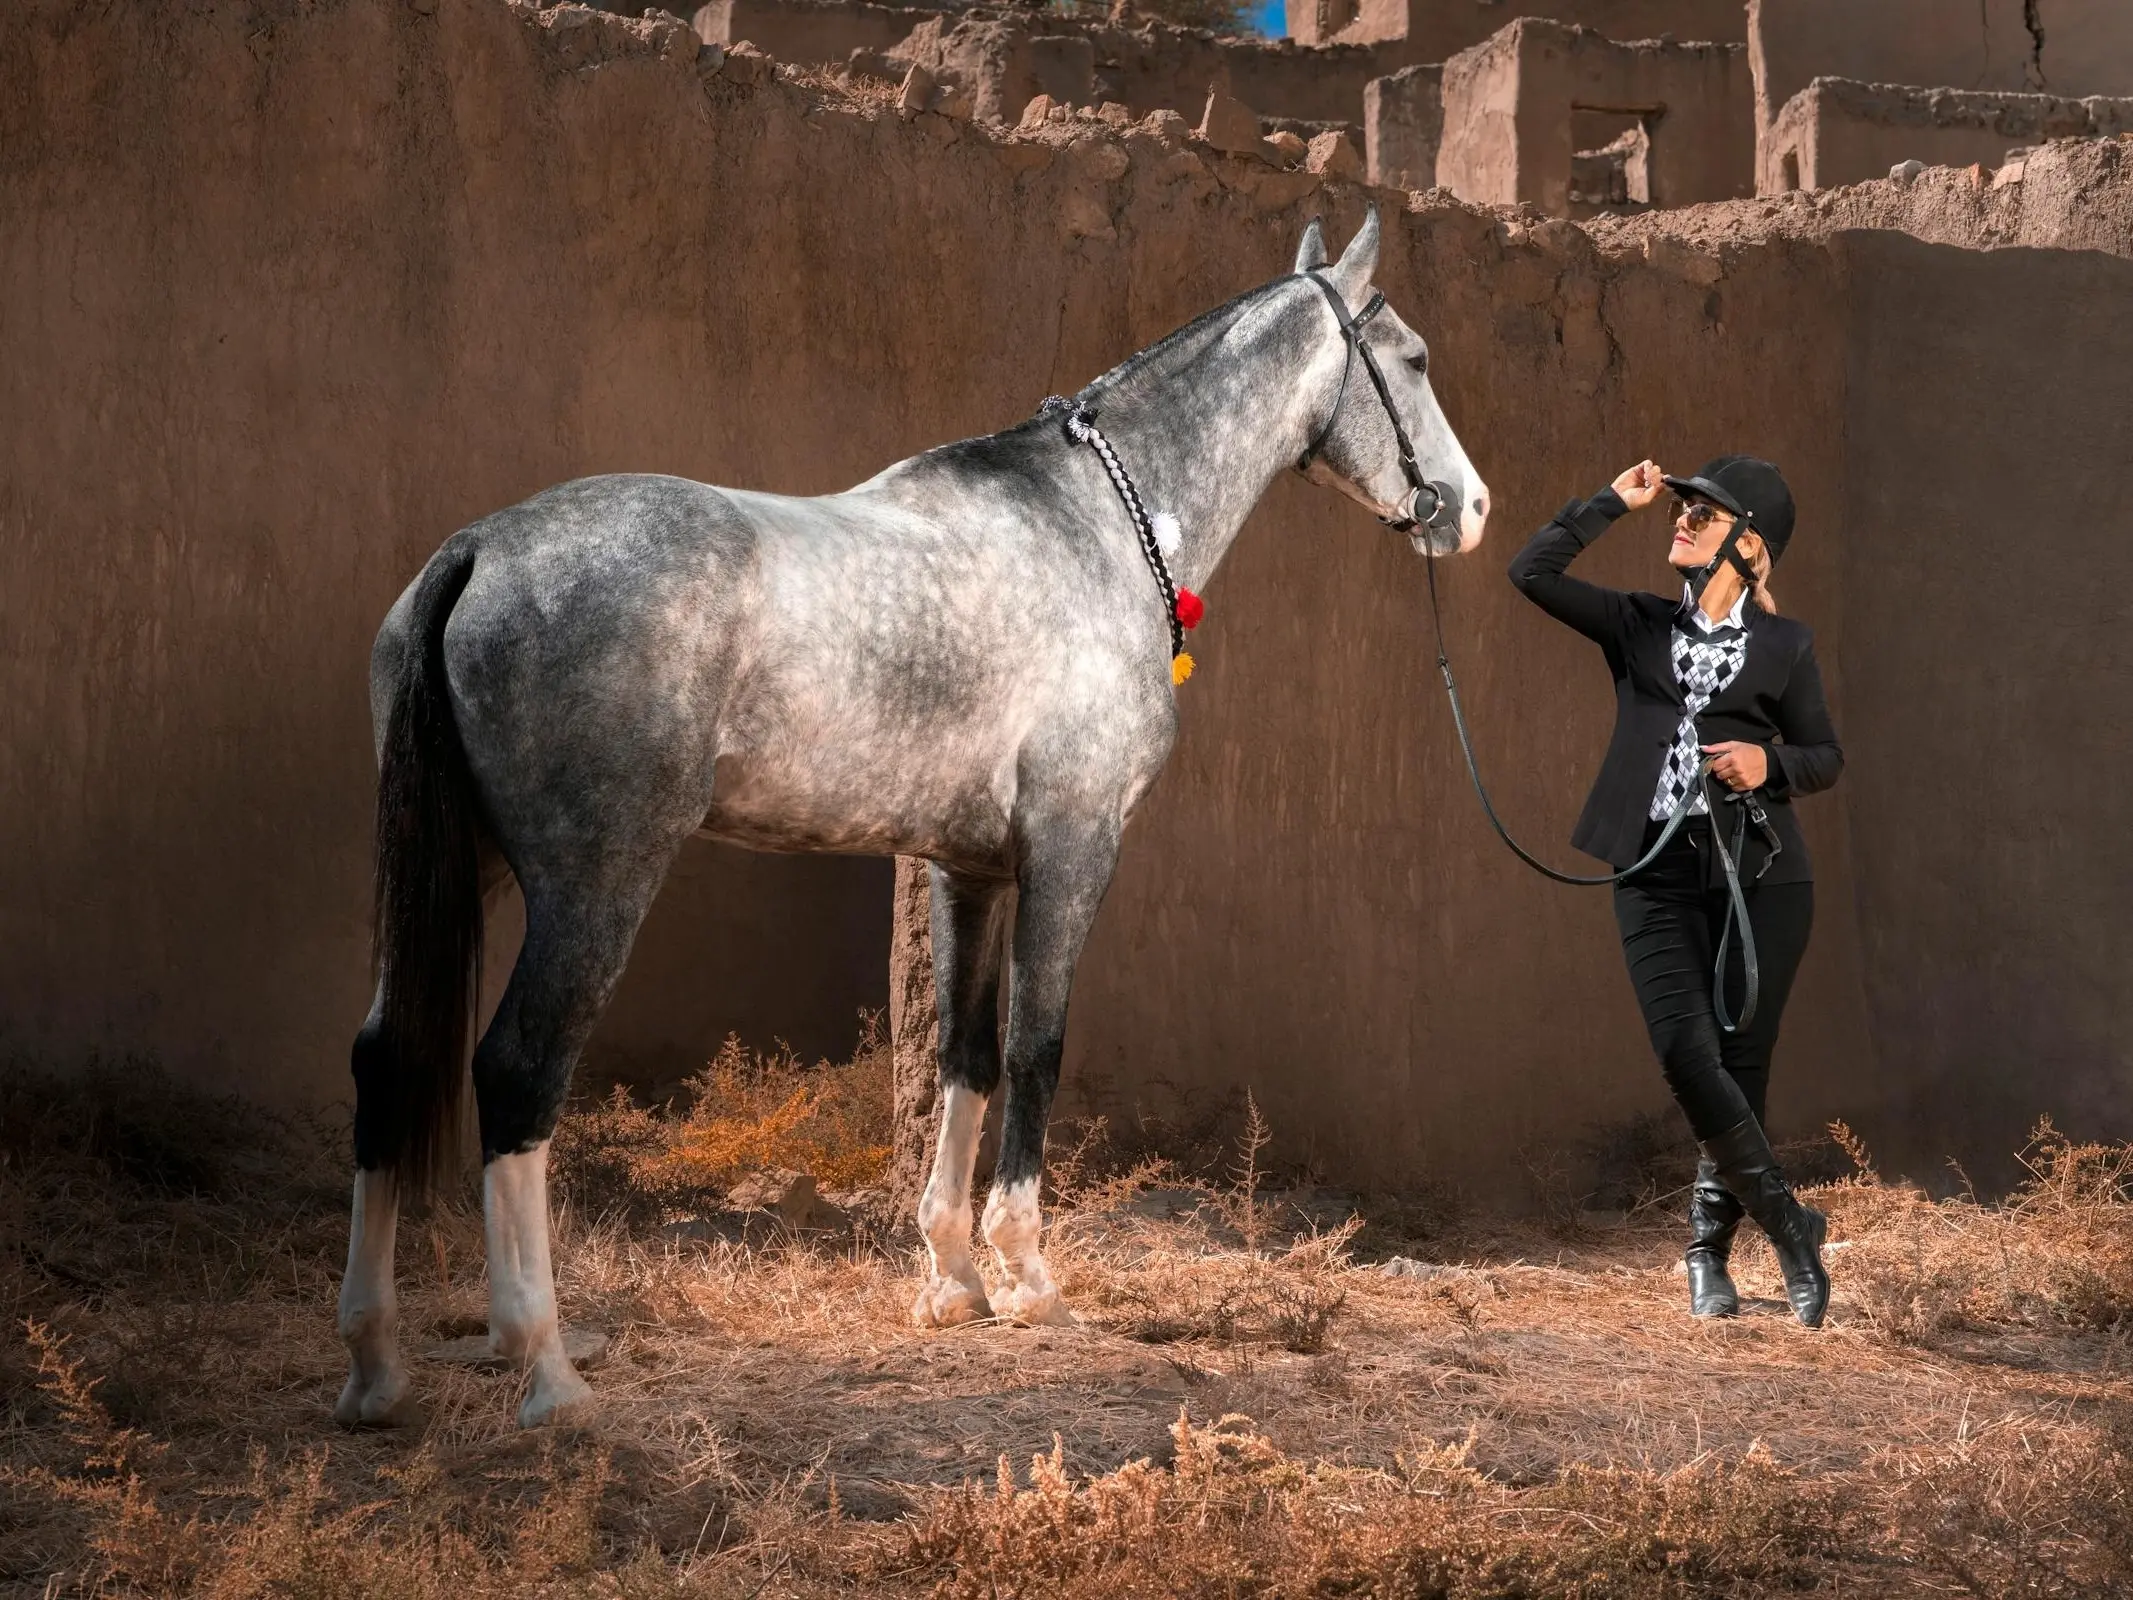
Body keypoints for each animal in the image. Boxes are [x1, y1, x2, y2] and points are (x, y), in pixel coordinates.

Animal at [336, 207, 1491, 1429]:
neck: (1091, 524)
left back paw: (376, 1366)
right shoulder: (1073, 847)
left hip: (471, 870)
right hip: (593, 881)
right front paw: (1028, 1278)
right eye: (1415, 360)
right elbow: (1036, 1045)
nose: (1470, 510)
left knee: (384, 1056)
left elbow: (964, 1054)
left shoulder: (966, 869)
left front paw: (952, 1277)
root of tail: (477, 550)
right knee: (518, 1071)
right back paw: (546, 1367)